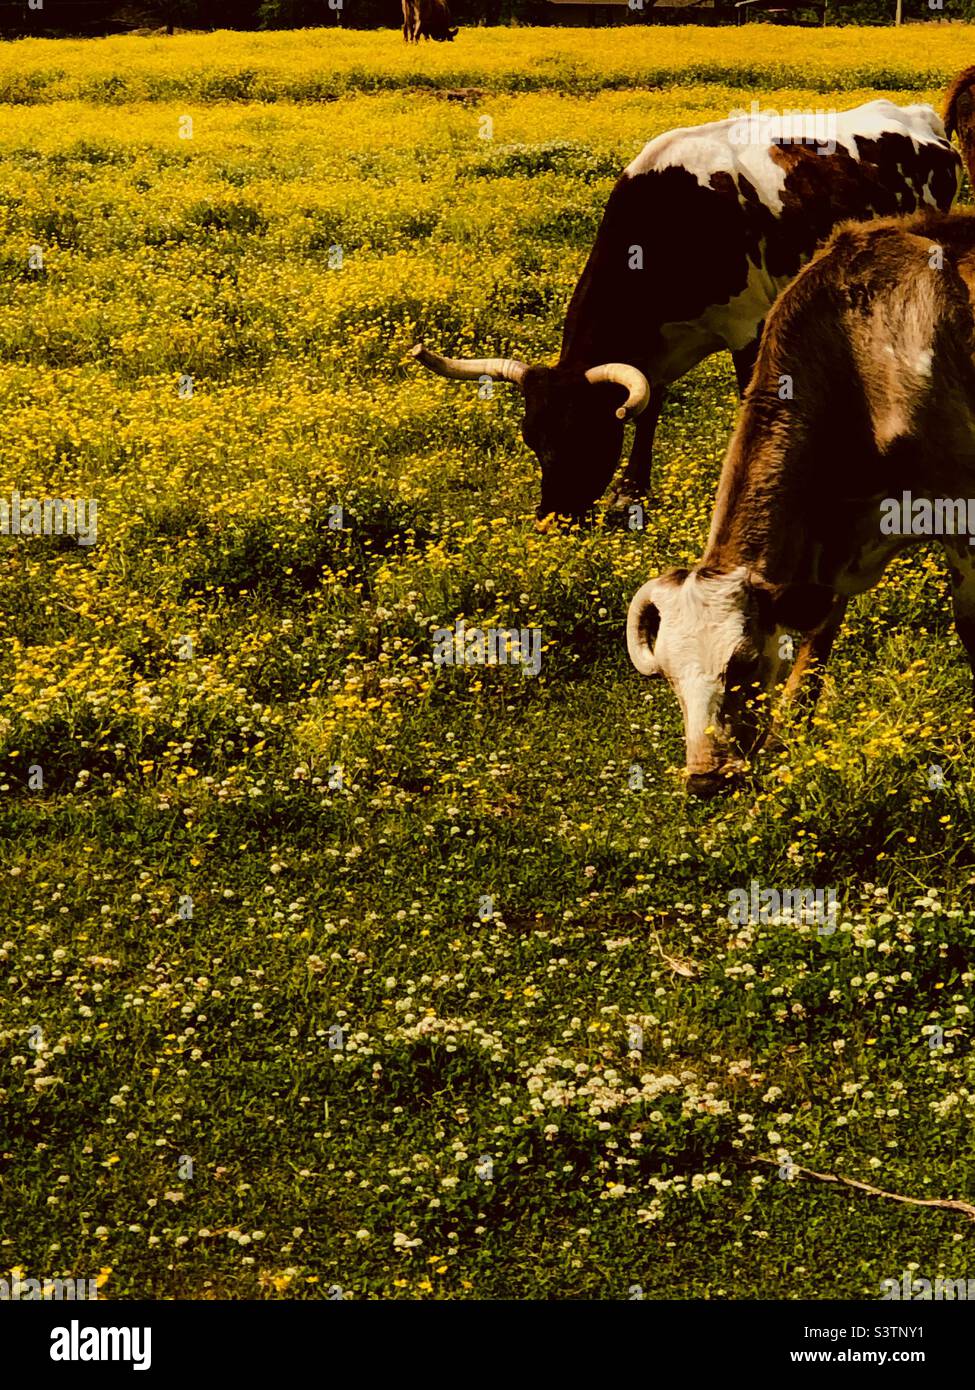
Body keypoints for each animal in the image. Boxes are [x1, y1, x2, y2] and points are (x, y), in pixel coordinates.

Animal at [412, 99, 960, 523]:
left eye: (588, 436)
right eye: (531, 438)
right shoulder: (656, 348)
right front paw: (631, 491)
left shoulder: (747, 328)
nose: (553, 520)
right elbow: (648, 406)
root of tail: (917, 116)